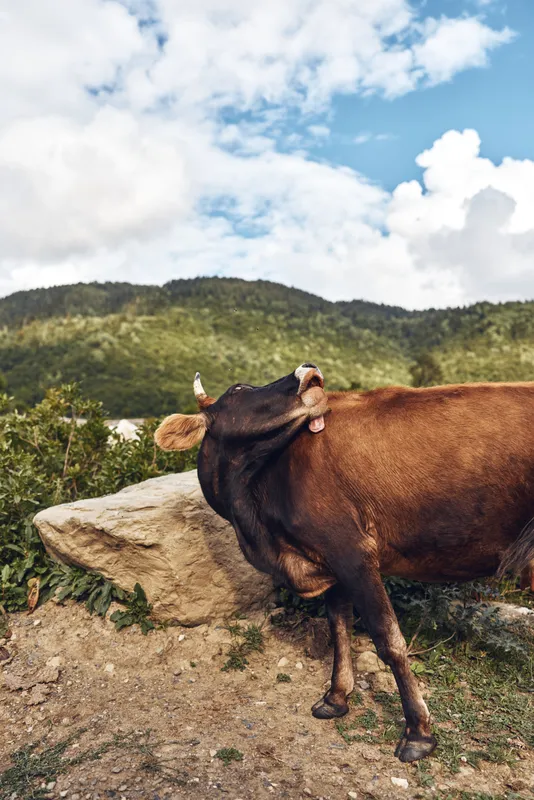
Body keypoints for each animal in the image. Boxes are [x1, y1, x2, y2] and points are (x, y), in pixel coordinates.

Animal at [154, 364, 534, 763]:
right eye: (238, 390)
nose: (309, 371)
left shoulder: (352, 550)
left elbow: (388, 639)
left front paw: (418, 732)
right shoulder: (328, 561)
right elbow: (339, 627)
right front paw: (336, 698)